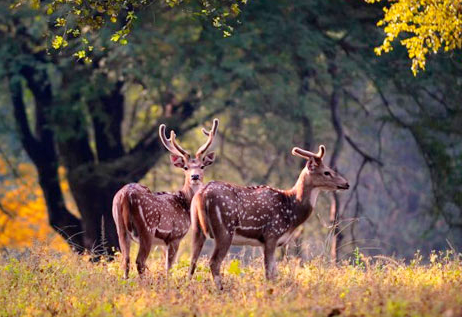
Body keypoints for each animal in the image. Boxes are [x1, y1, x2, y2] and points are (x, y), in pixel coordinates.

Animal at [113, 118, 219, 276]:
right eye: (185, 167)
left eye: (202, 166)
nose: (195, 176)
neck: (184, 203)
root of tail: (125, 195)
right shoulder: (175, 235)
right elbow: (169, 267)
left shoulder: (164, 242)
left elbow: (165, 265)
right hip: (147, 229)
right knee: (140, 261)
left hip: (120, 227)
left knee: (125, 261)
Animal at [189, 144, 348, 288]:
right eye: (327, 172)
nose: (346, 183)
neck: (292, 211)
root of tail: (201, 195)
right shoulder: (272, 234)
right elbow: (269, 273)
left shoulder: (263, 241)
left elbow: (274, 272)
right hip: (224, 229)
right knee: (214, 262)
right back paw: (220, 290)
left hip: (197, 227)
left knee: (192, 260)